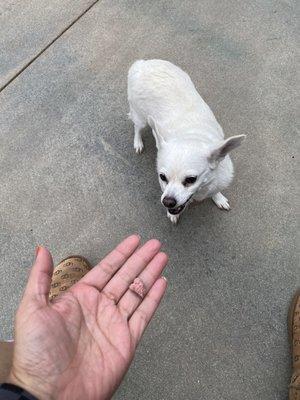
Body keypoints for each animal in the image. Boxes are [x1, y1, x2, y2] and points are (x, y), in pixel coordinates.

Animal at [126, 59, 244, 223]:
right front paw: (172, 214)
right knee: (137, 127)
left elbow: (216, 190)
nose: (168, 201)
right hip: (141, 117)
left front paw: (218, 198)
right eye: (162, 177)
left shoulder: (220, 177)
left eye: (191, 179)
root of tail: (143, 64)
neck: (190, 135)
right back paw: (138, 142)